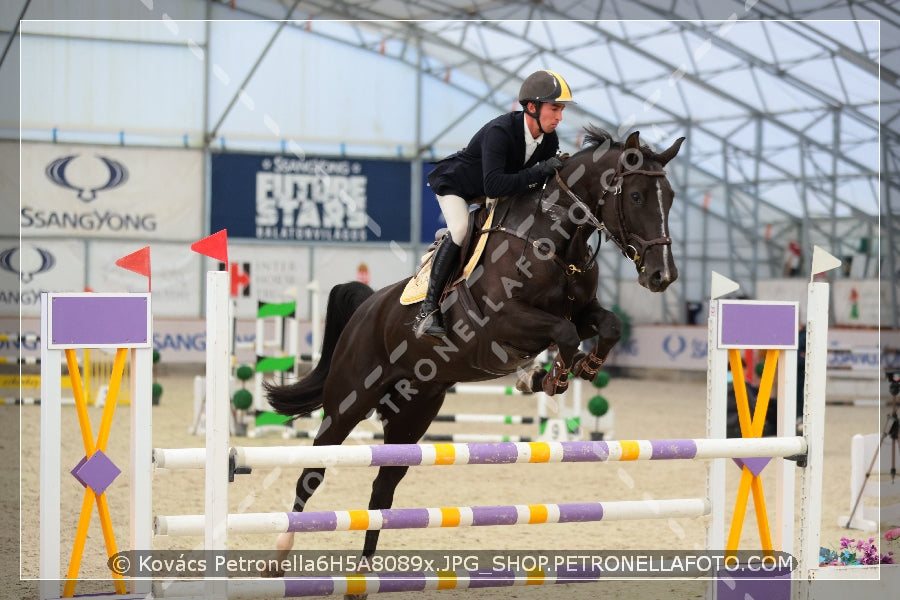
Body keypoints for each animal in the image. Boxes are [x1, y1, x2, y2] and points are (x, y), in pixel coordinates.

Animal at [260, 127, 684, 592]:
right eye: (638, 196)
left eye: (671, 197)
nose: (662, 276)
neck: (555, 240)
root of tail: (367, 306)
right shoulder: (501, 323)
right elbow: (565, 334)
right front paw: (550, 375)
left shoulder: (581, 310)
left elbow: (608, 326)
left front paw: (574, 370)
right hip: (349, 401)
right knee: (313, 469)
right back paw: (279, 556)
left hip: (413, 414)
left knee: (382, 488)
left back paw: (363, 576)